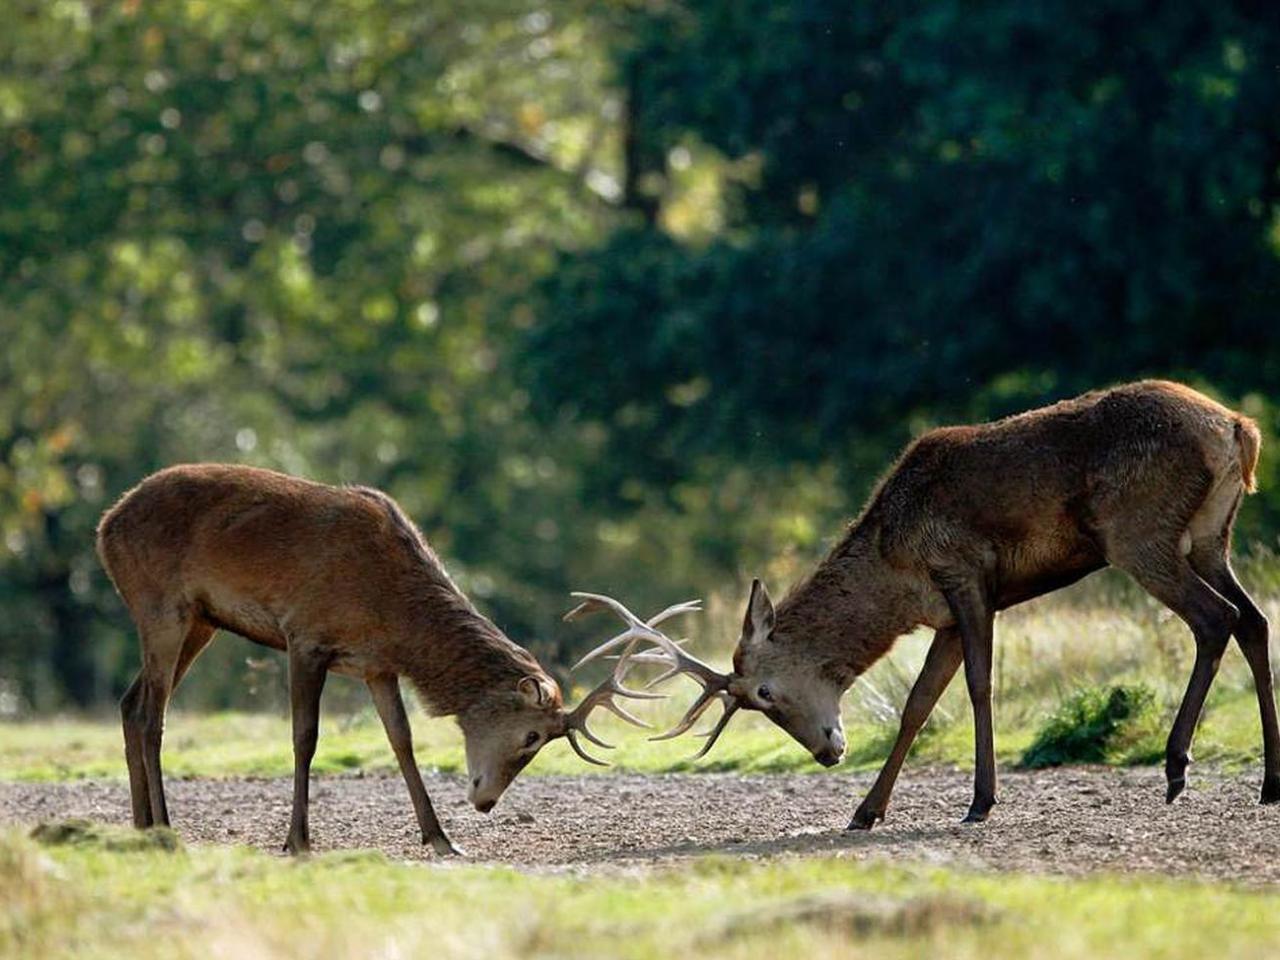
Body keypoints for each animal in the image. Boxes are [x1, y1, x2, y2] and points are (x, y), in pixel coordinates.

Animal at [96, 465, 691, 855]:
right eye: (532, 737)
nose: (485, 803)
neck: (396, 614)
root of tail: (104, 527)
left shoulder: (376, 664)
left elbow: (401, 740)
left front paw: (442, 839)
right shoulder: (305, 635)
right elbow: (305, 737)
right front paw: (297, 840)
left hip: (201, 621)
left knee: (128, 703)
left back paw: (141, 828)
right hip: (161, 605)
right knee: (150, 713)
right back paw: (166, 830)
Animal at [583, 378, 1280, 829]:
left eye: (764, 694)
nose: (827, 752)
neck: (895, 573)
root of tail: (1239, 430)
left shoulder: (965, 573)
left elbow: (977, 684)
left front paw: (980, 801)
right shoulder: (946, 611)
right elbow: (918, 702)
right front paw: (866, 811)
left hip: (1139, 533)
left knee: (1216, 620)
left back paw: (1176, 766)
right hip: (1210, 536)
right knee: (1254, 619)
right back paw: (1269, 783)